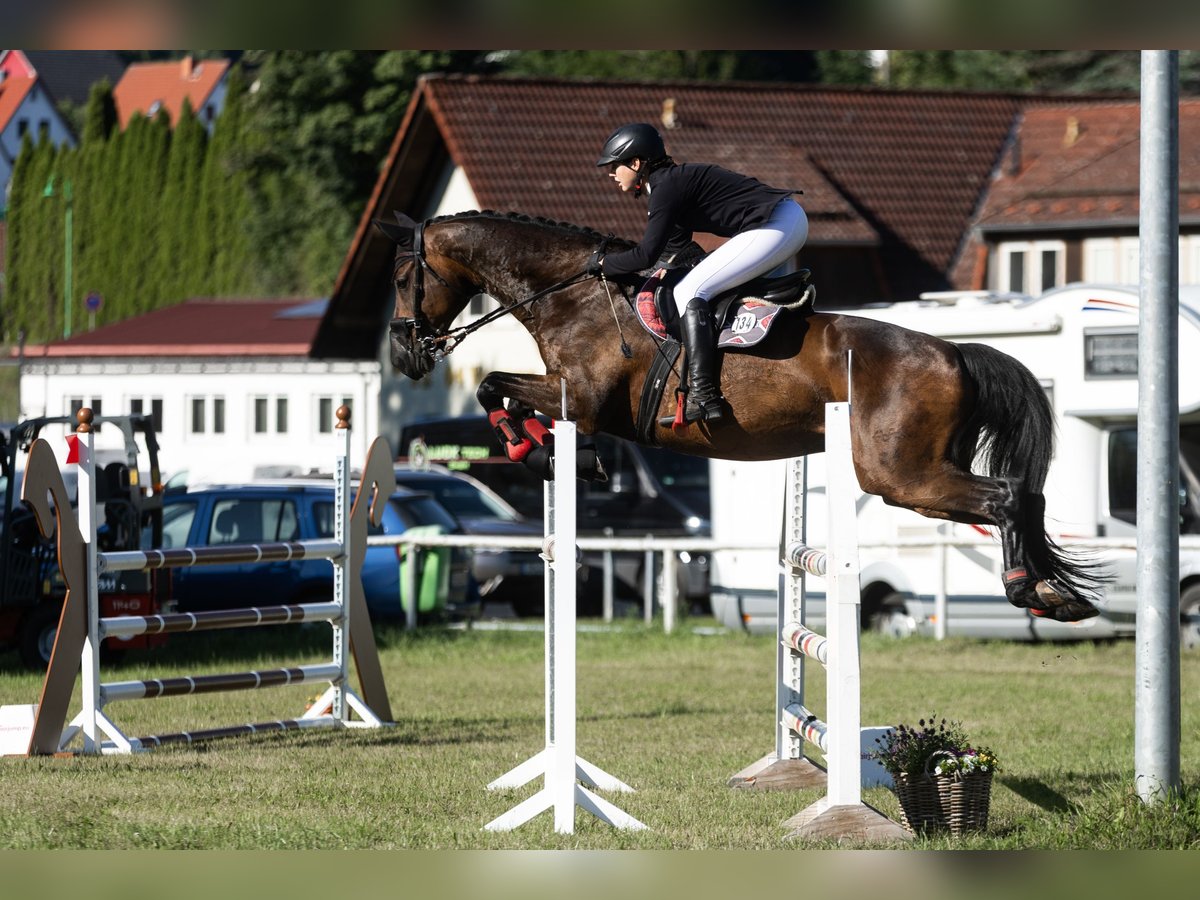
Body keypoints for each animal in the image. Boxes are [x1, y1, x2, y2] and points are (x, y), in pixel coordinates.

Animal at [377, 209, 1105, 623]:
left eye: (402, 277)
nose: (404, 352)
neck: (572, 295)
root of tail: (953, 352)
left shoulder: (579, 399)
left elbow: (493, 387)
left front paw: (535, 449)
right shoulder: (568, 397)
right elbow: (496, 391)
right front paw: (552, 452)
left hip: (898, 474)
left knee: (1006, 496)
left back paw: (1028, 591)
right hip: (915, 473)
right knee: (1025, 496)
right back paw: (1055, 593)